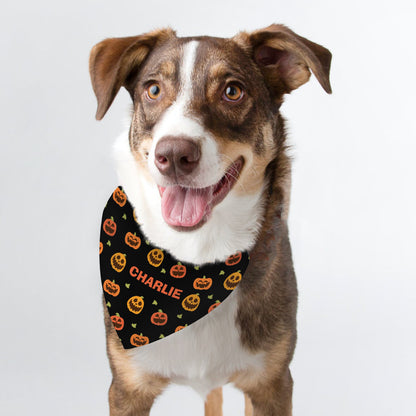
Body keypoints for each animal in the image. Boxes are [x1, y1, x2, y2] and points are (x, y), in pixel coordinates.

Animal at [90, 23, 332, 416]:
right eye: (153, 89)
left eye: (232, 91)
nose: (174, 154)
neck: (195, 256)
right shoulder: (127, 387)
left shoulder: (272, 384)